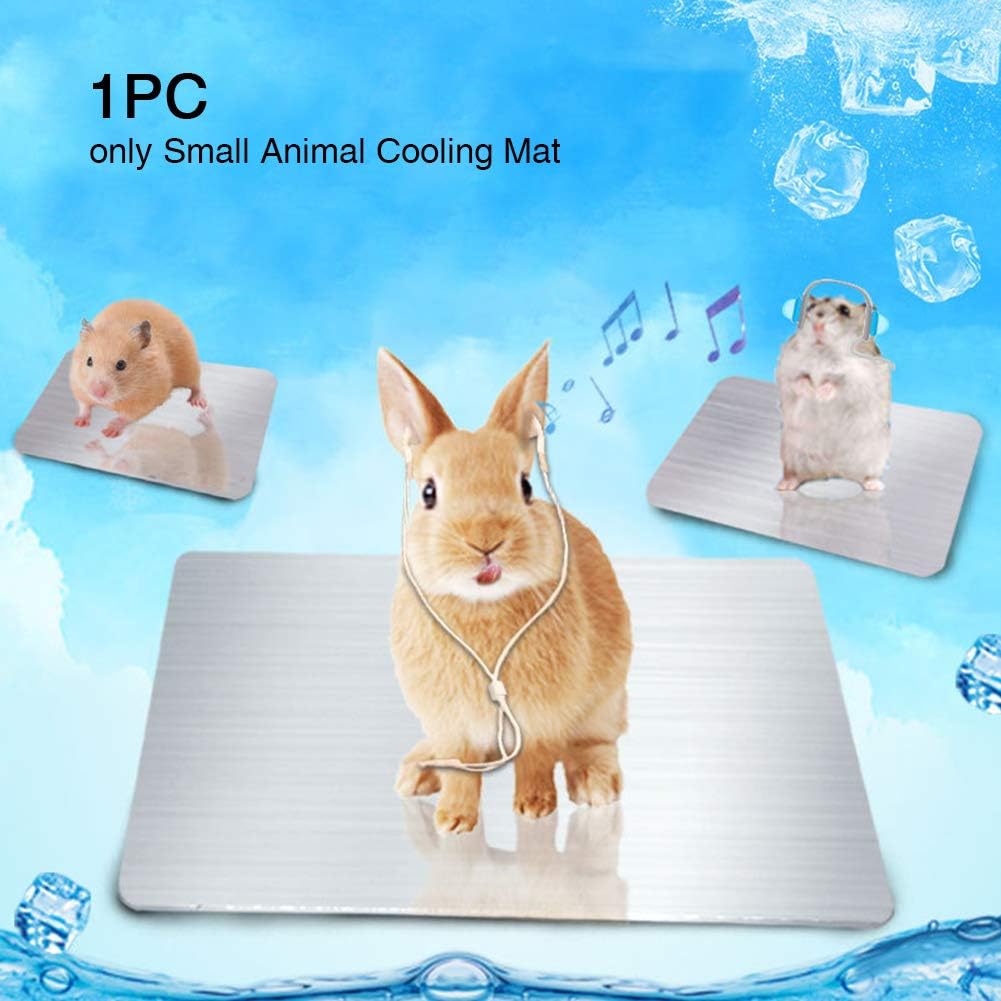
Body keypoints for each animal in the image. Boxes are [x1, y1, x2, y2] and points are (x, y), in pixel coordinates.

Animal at [377, 342, 632, 835]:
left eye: (526, 486)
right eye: (429, 493)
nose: (486, 539)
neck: (482, 605)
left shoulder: (542, 716)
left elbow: (536, 759)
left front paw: (534, 808)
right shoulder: (451, 724)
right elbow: (461, 769)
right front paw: (453, 820)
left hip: (605, 699)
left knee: (595, 740)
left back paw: (595, 784)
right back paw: (416, 772)